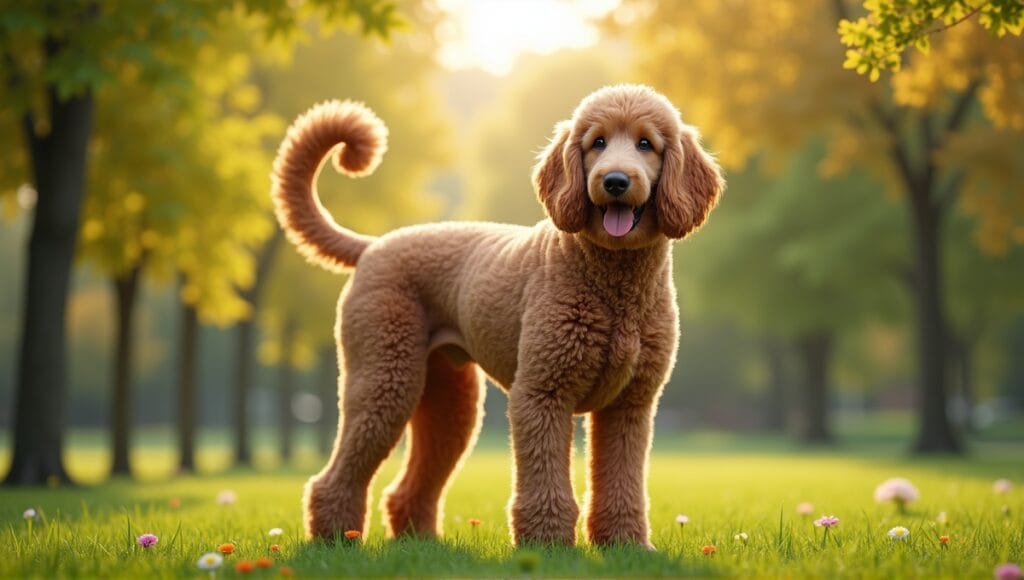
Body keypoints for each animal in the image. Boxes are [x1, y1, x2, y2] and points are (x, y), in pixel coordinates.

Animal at [272, 84, 720, 549]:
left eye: (646, 144)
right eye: (596, 142)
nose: (614, 181)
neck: (612, 290)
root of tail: (373, 246)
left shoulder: (630, 405)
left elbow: (622, 482)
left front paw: (625, 544)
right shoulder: (542, 392)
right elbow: (543, 480)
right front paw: (547, 544)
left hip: (450, 401)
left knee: (409, 484)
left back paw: (420, 544)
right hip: (383, 377)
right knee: (335, 475)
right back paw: (335, 540)